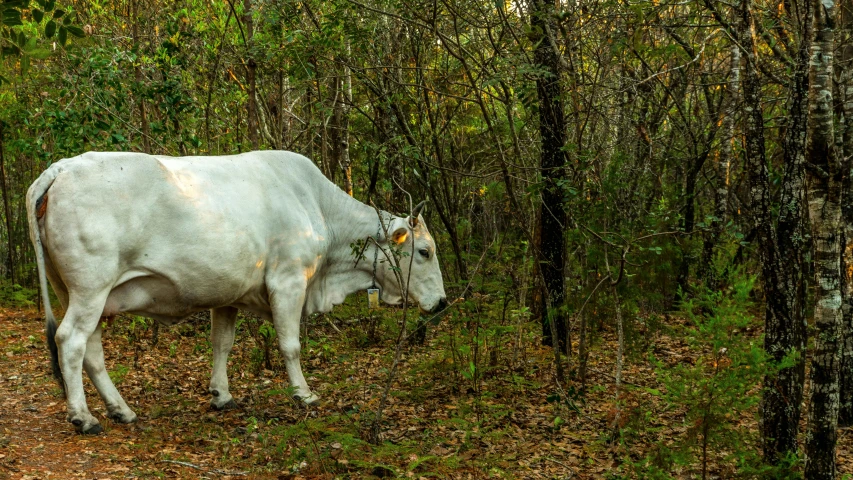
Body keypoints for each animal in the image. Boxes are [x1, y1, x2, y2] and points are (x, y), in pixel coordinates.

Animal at [28, 151, 446, 436]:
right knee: (70, 342)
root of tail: (61, 168)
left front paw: (221, 394)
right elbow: (290, 345)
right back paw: (84, 417)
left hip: (78, 293)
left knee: (93, 351)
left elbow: (222, 344)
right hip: (90, 288)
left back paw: (121, 410)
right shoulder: (288, 281)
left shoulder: (226, 294)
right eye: (424, 251)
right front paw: (304, 394)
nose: (442, 302)